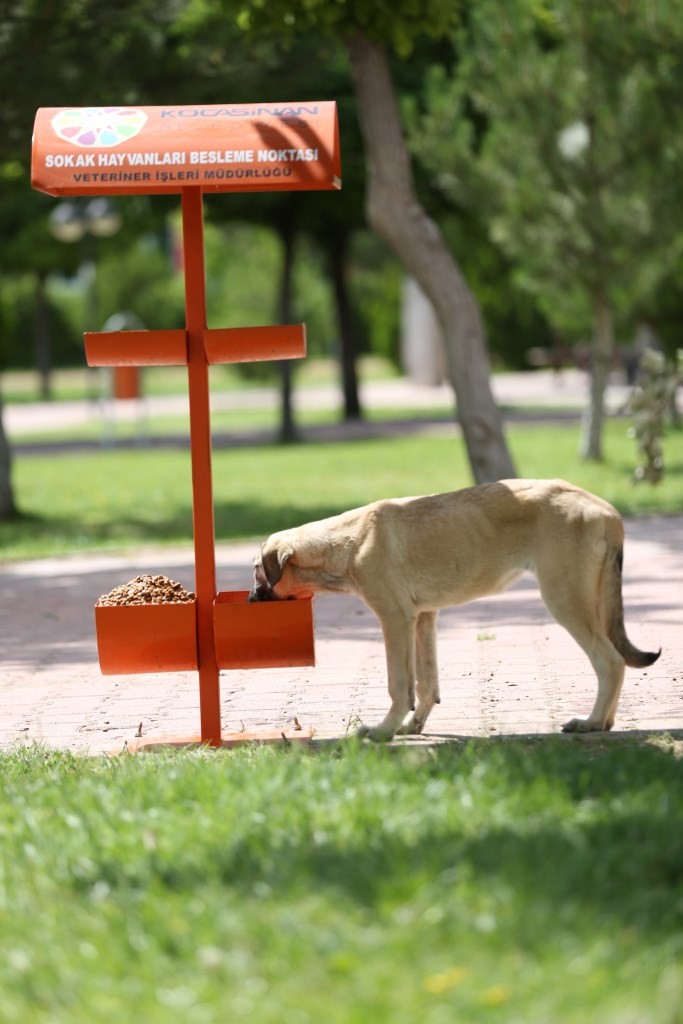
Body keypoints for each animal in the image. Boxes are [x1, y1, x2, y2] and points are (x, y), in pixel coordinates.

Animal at [248, 475, 659, 741]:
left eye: (256, 572)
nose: (250, 600)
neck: (347, 542)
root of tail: (607, 511)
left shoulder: (395, 620)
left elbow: (399, 683)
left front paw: (383, 730)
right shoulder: (423, 619)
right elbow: (426, 682)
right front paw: (410, 727)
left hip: (564, 597)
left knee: (609, 661)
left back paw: (590, 723)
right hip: (593, 598)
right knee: (614, 660)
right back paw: (605, 721)